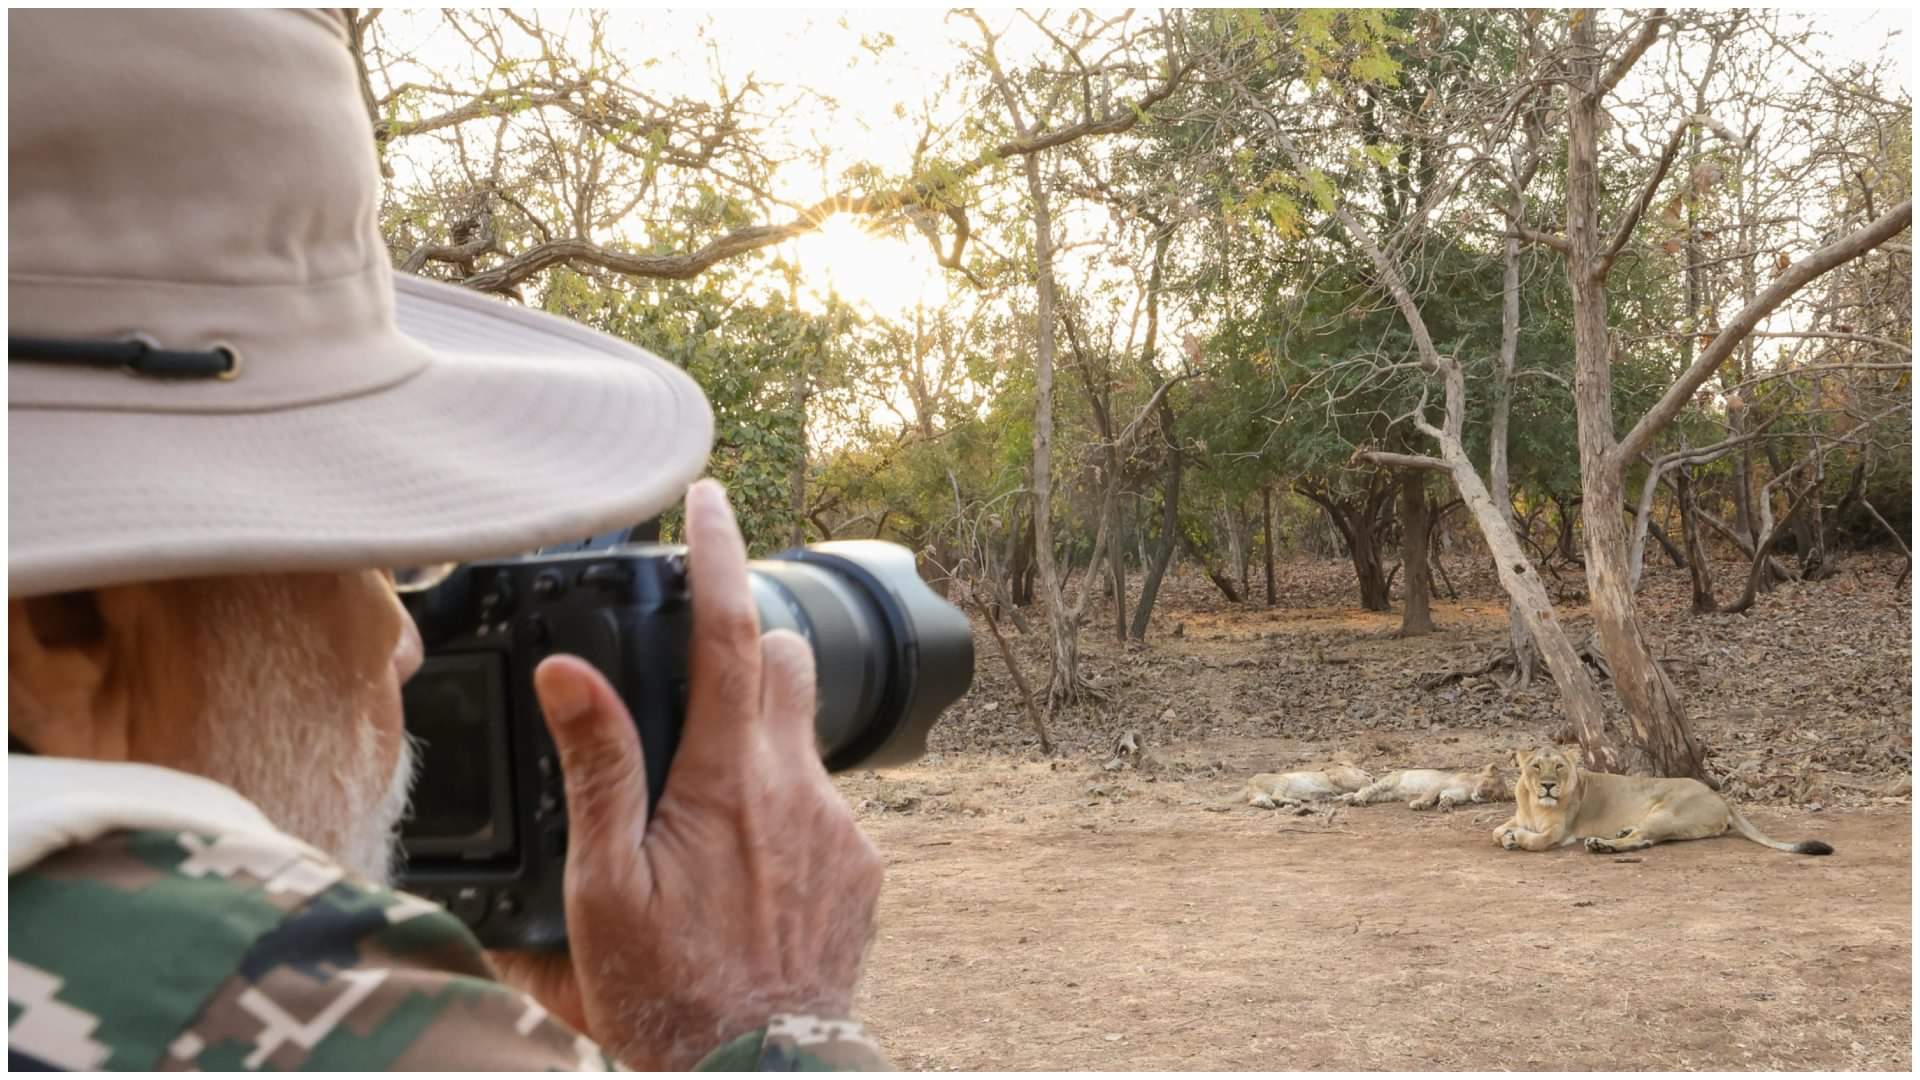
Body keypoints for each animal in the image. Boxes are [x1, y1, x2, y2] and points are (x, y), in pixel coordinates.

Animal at [1239, 763, 1372, 810]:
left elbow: (1342, 794)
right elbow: (1361, 782)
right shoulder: (1340, 777)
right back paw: (1294, 802)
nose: (1373, 777)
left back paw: (1265, 804)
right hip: (1282, 779)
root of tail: (1249, 781)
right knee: (1276, 796)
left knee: (1254, 801)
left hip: (1260, 794)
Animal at [1340, 764, 1506, 810]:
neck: (1470, 788)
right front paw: (1419, 804)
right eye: (1485, 784)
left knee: (1369, 794)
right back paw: (1358, 800)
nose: (1482, 794)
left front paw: (1445, 806)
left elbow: (1448, 798)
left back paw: (1351, 799)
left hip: (1387, 795)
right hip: (1388, 782)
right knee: (1366, 789)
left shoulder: (1454, 794)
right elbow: (1429, 795)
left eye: (1493, 796)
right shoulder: (1441, 784)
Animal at [1493, 745, 1833, 856]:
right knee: (1642, 838)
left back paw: (1601, 845)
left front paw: (1516, 838)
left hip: (1667, 814)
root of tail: (1720, 797)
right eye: (1536, 766)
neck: (1533, 804)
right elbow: (1495, 831)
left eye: (1559, 767)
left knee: (1642, 839)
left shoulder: (1560, 832)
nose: (1548, 786)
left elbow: (1535, 840)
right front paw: (1506, 834)